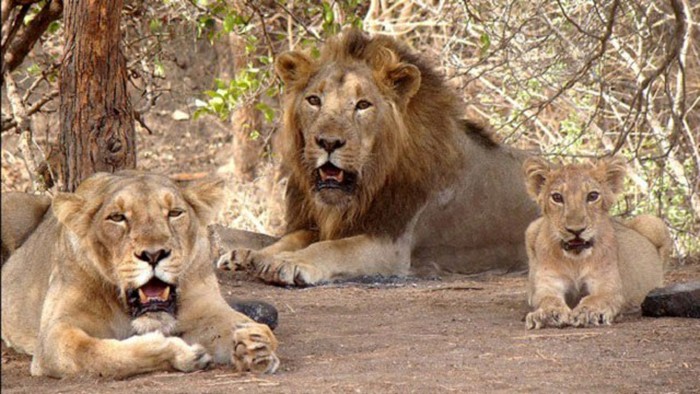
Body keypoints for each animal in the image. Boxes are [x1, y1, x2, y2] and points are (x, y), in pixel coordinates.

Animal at [0, 172, 278, 378]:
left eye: (174, 213)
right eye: (117, 217)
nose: (154, 254)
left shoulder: (205, 308)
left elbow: (236, 323)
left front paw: (256, 343)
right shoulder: (54, 334)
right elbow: (98, 355)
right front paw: (180, 353)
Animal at [217, 29, 536, 284]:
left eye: (363, 105)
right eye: (314, 100)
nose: (328, 142)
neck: (367, 185)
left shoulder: (392, 245)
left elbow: (333, 248)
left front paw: (288, 263)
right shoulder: (324, 223)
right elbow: (292, 238)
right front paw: (249, 254)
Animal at [524, 157, 668, 330]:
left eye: (592, 196)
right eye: (557, 197)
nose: (576, 230)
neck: (576, 261)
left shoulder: (608, 286)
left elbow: (595, 299)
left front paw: (588, 312)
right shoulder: (548, 284)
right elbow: (547, 299)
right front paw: (548, 314)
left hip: (652, 222)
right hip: (532, 228)